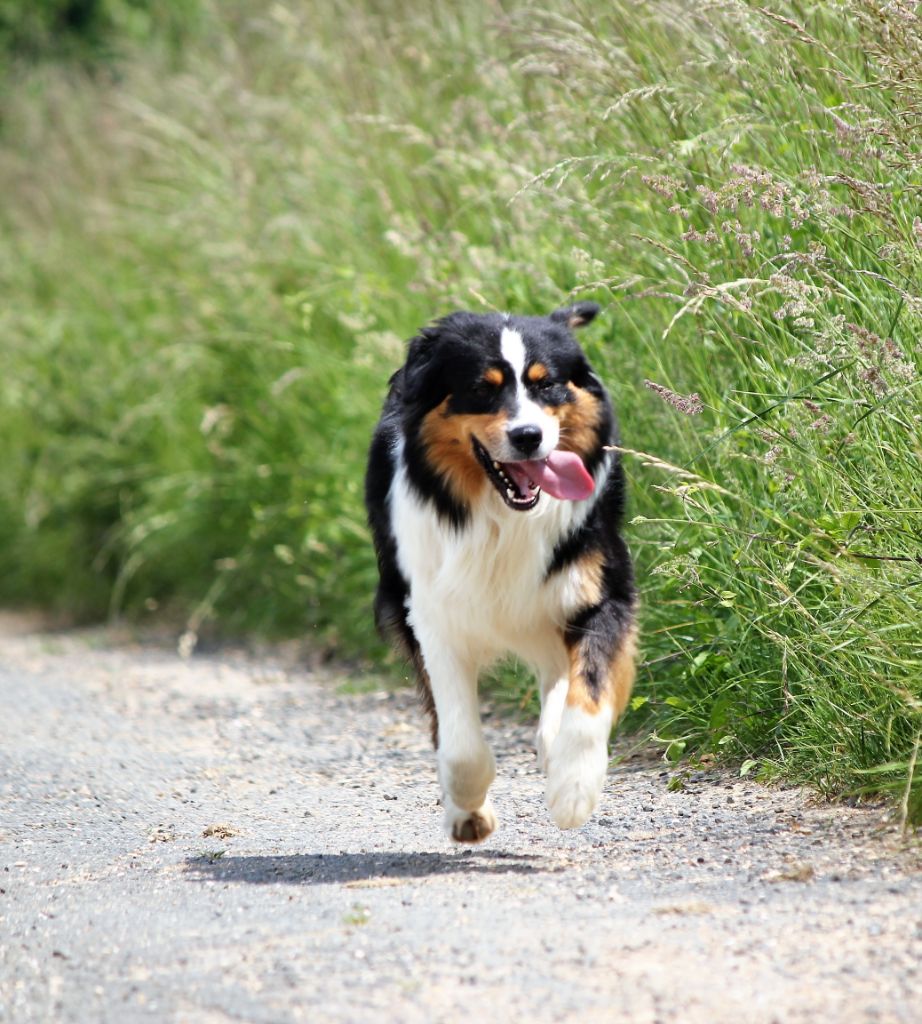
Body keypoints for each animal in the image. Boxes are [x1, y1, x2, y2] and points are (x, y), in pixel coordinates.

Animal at [364, 301, 639, 839]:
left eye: (546, 384)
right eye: (482, 388)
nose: (529, 436)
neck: (502, 516)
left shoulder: (603, 590)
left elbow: (590, 692)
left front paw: (573, 788)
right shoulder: (431, 614)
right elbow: (459, 743)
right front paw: (468, 809)